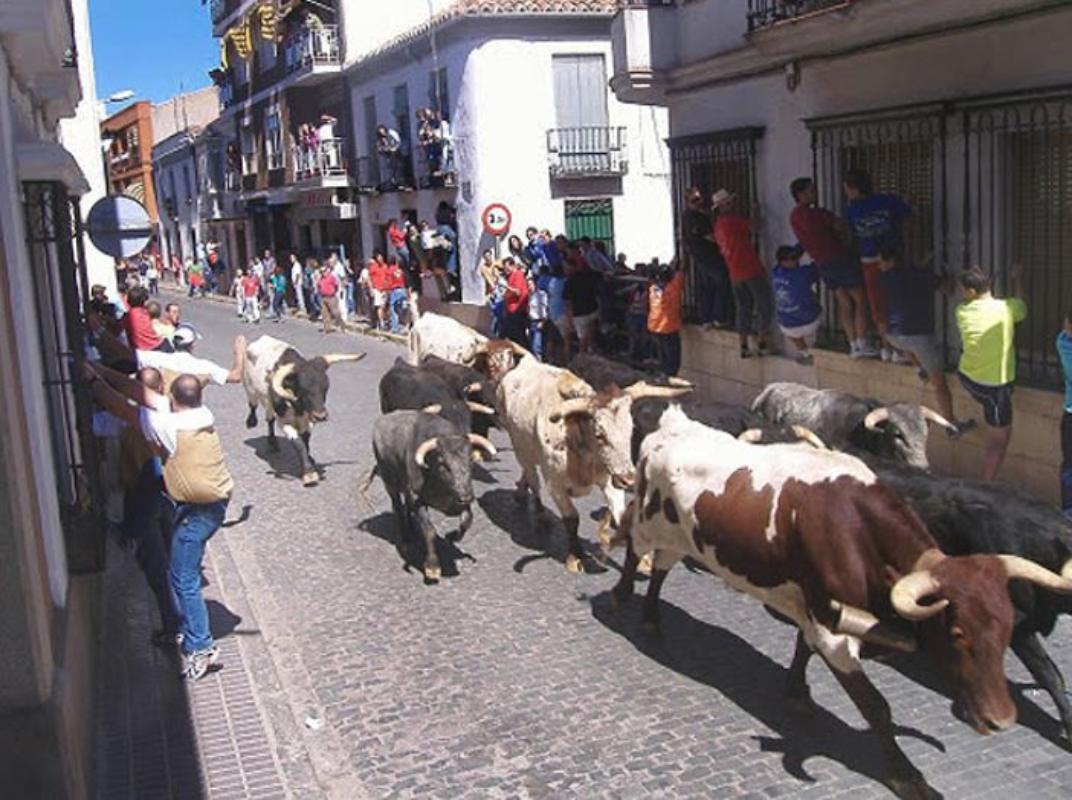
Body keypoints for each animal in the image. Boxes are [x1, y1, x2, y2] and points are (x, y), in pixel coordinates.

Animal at [495, 351, 686, 570]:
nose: (628, 479)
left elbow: (620, 515)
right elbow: (572, 519)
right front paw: (576, 555)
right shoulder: (555, 485)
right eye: (599, 434)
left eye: (631, 429)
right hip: (520, 448)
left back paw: (521, 492)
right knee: (533, 478)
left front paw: (642, 559)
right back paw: (540, 512)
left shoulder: (610, 480)